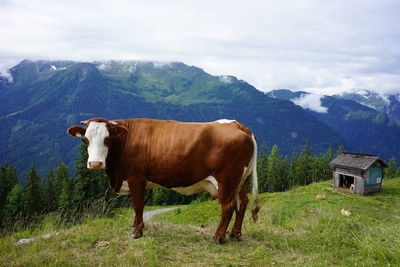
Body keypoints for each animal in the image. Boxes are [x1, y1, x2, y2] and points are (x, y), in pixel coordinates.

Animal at [67, 118, 260, 244]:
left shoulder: (136, 178)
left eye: (107, 139)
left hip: (226, 180)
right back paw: (235, 234)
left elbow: (138, 205)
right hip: (240, 180)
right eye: (85, 139)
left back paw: (218, 237)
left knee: (228, 206)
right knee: (242, 202)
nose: (95, 163)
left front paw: (137, 232)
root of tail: (236, 125)